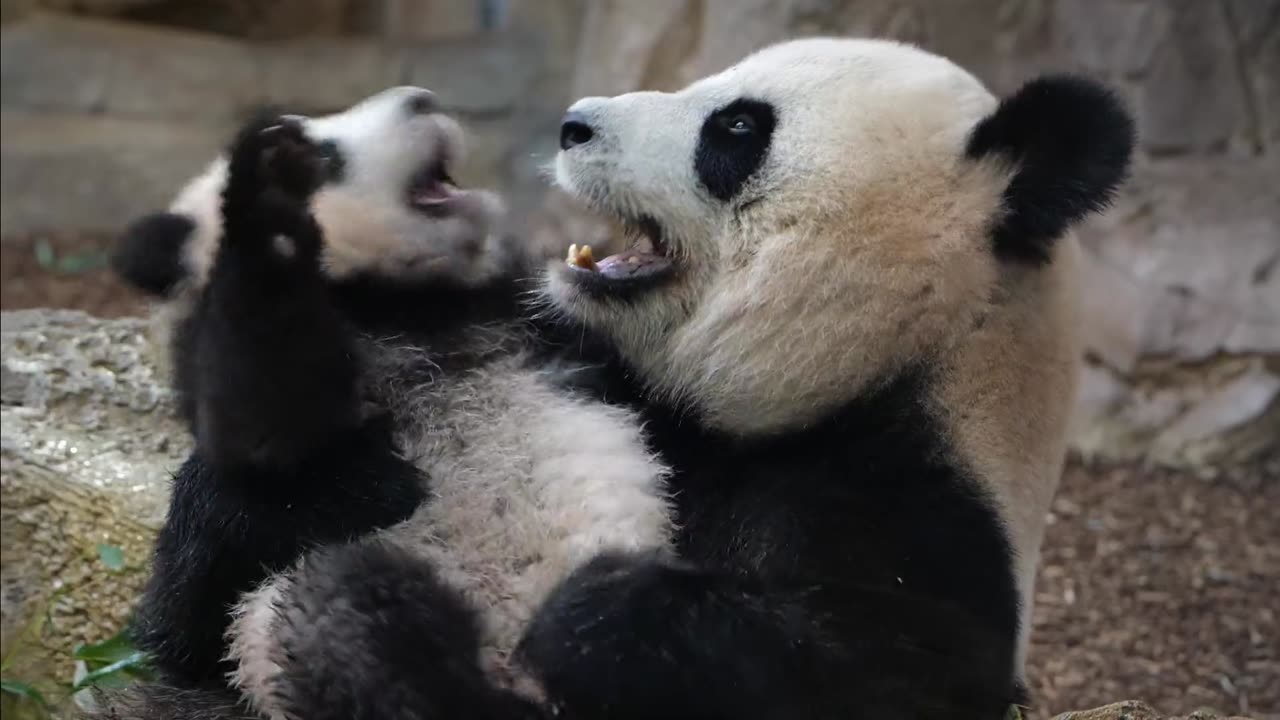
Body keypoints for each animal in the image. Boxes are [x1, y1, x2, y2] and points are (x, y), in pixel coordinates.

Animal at [94, 87, 675, 712]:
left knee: (634, 611)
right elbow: (264, 426)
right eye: (328, 156)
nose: (421, 100)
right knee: (350, 616)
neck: (407, 303)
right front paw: (268, 192)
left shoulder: (540, 324)